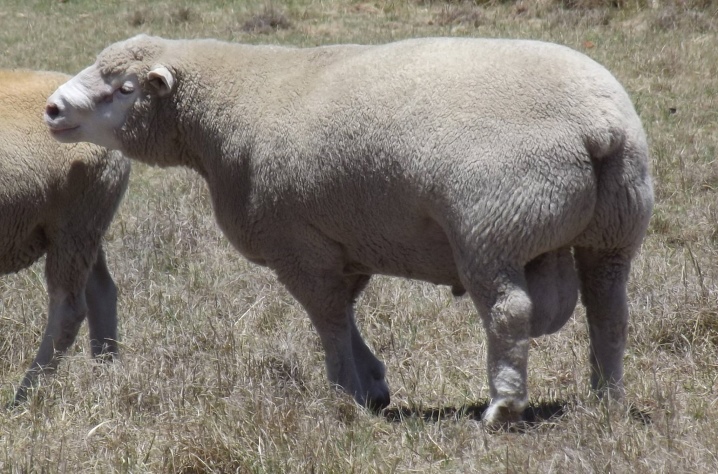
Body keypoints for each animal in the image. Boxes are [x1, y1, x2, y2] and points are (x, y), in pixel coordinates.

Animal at [1, 69, 130, 404]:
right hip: (88, 227)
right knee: (103, 292)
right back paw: (105, 375)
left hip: (72, 229)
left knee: (68, 310)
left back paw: (25, 396)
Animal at [42, 36, 656, 430]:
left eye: (124, 88)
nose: (51, 109)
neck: (231, 111)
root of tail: (600, 126)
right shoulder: (344, 243)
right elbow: (347, 311)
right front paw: (374, 384)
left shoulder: (298, 245)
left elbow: (329, 319)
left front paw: (345, 392)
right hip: (614, 230)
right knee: (609, 313)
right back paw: (607, 398)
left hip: (491, 229)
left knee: (510, 313)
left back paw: (503, 407)